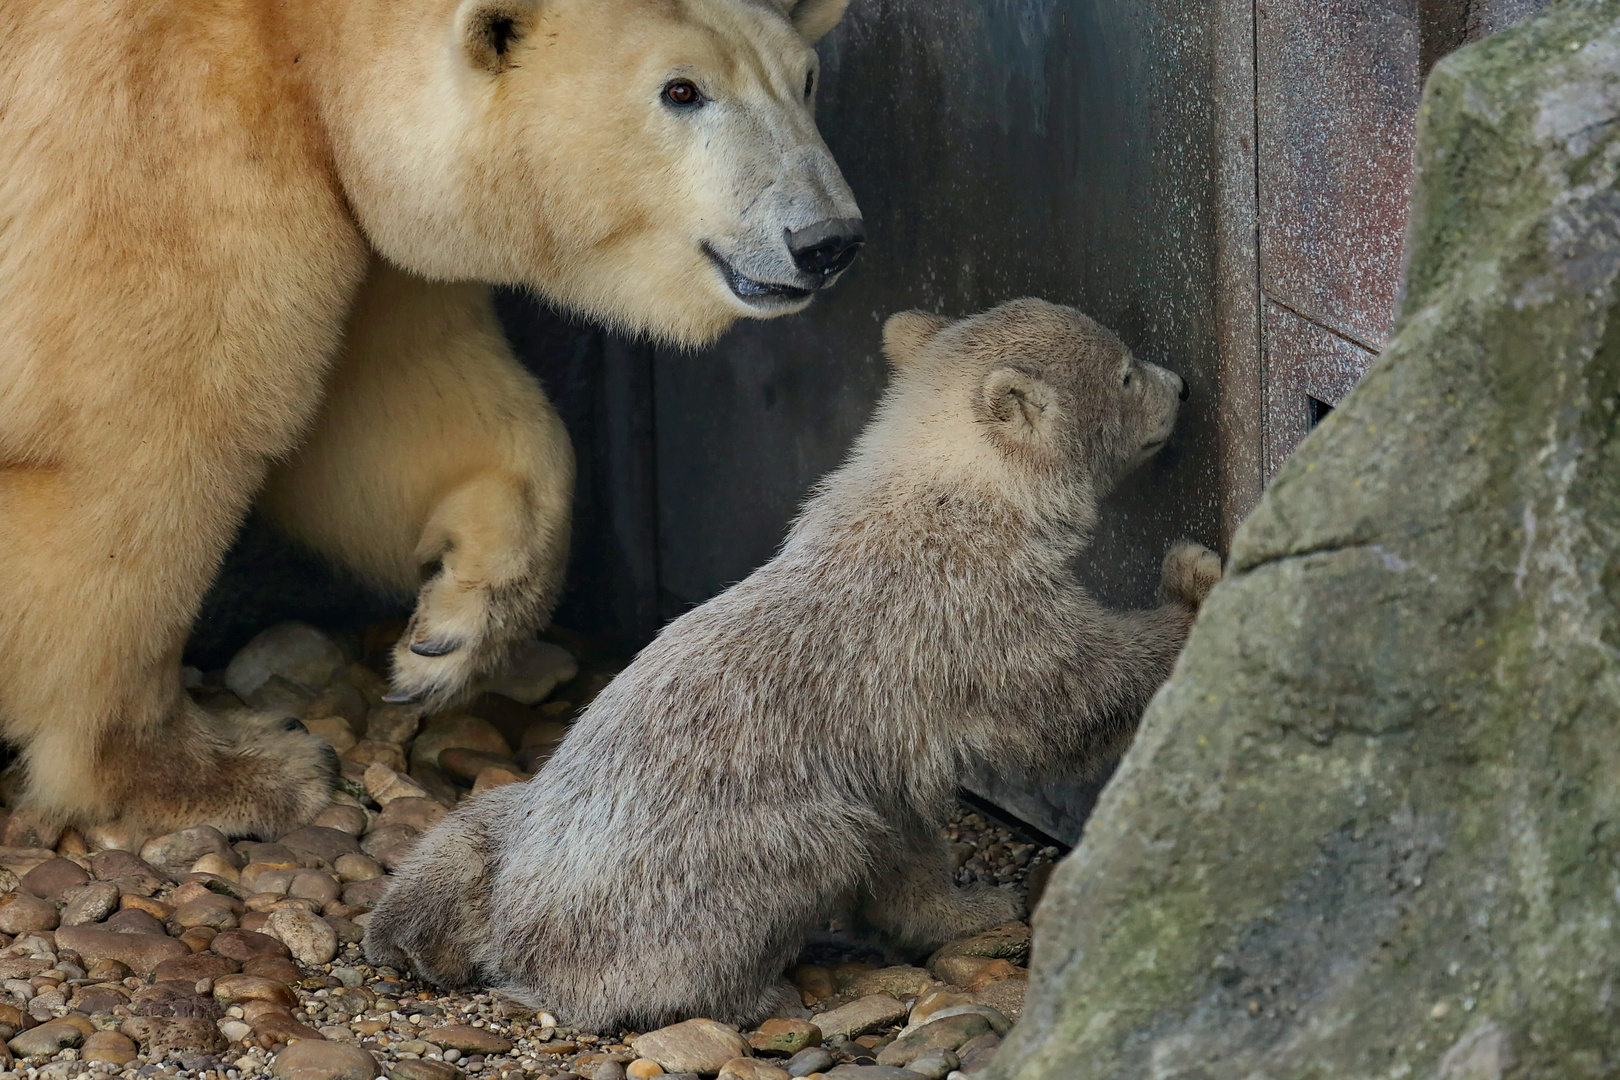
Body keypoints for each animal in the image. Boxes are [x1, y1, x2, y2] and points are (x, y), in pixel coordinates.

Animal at [0, 0, 861, 841]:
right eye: (681, 90)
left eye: (806, 77)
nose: (827, 241)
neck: (292, 36)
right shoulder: (157, 136)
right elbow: (135, 450)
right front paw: (218, 772)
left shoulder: (351, 203)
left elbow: (395, 394)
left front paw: (453, 632)